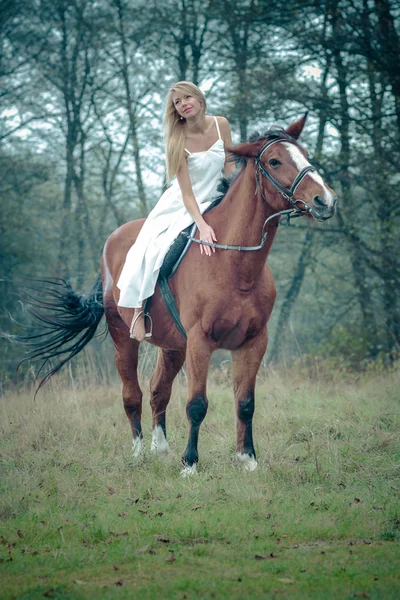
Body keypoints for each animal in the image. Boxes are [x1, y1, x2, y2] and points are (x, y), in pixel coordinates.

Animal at [20, 115, 336, 476]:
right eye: (274, 161)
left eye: (304, 154)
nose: (325, 200)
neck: (235, 263)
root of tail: (112, 241)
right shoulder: (200, 341)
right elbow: (197, 404)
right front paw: (190, 464)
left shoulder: (254, 341)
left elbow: (245, 402)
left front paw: (247, 459)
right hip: (123, 336)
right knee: (132, 395)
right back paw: (139, 453)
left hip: (173, 345)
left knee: (159, 390)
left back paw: (160, 449)